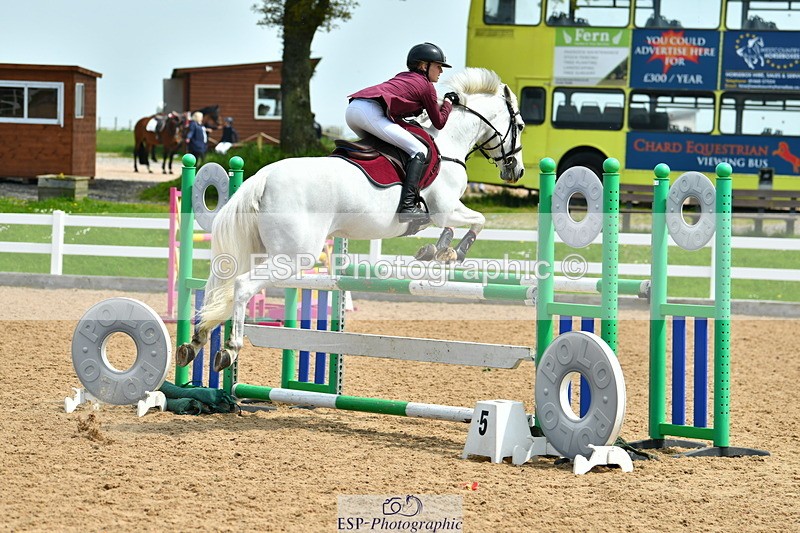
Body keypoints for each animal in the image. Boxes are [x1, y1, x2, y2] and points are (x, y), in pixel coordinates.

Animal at [176, 68, 526, 373]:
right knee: (242, 286)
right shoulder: (445, 208)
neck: (448, 140)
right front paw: (455, 252)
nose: (517, 171)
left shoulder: (441, 213)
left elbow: (455, 227)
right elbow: (478, 220)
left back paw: (194, 343)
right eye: (520, 125)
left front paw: (437, 251)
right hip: (293, 256)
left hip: (261, 251)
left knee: (219, 287)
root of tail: (262, 178)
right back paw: (229, 349)